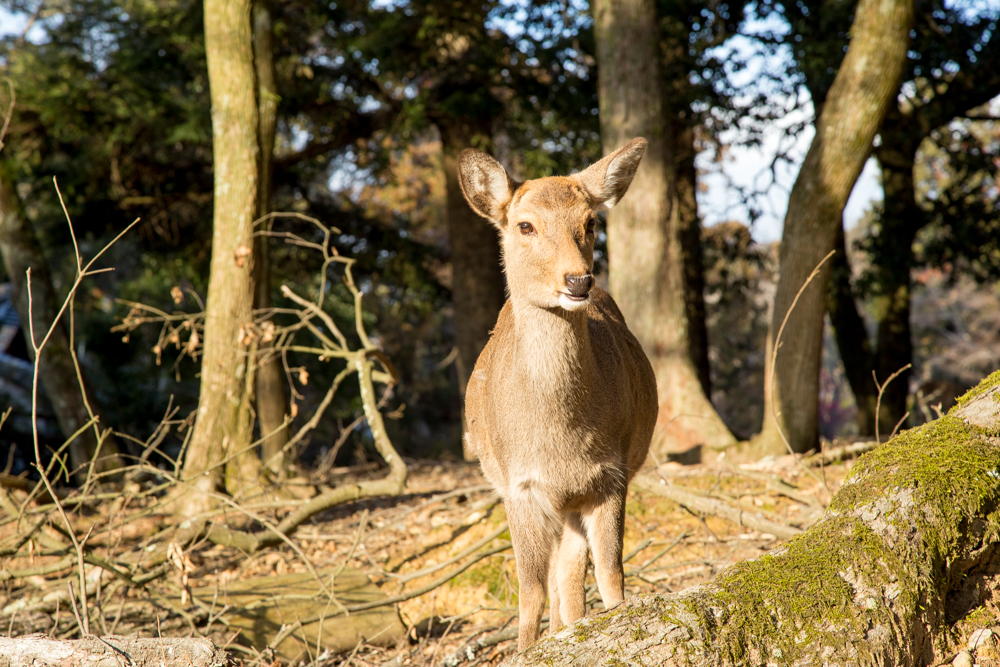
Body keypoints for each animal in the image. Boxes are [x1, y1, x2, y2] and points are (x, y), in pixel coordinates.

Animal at [458, 137, 660, 652]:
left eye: (590, 222)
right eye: (525, 225)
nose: (578, 280)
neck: (561, 439)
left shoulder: (611, 472)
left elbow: (611, 574)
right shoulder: (520, 486)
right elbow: (528, 590)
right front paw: (524, 650)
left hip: (574, 503)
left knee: (569, 576)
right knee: (554, 580)